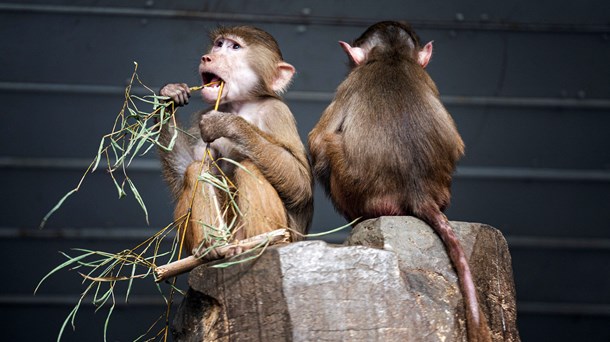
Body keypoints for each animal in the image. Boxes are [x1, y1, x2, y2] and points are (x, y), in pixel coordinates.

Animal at [157, 25, 312, 258]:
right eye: (219, 44)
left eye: (235, 47)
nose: (208, 57)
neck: (241, 105)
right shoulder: (204, 112)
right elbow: (189, 169)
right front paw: (169, 96)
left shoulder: (276, 112)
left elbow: (300, 185)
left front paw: (228, 125)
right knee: (197, 170)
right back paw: (212, 246)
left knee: (250, 166)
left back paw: (261, 243)